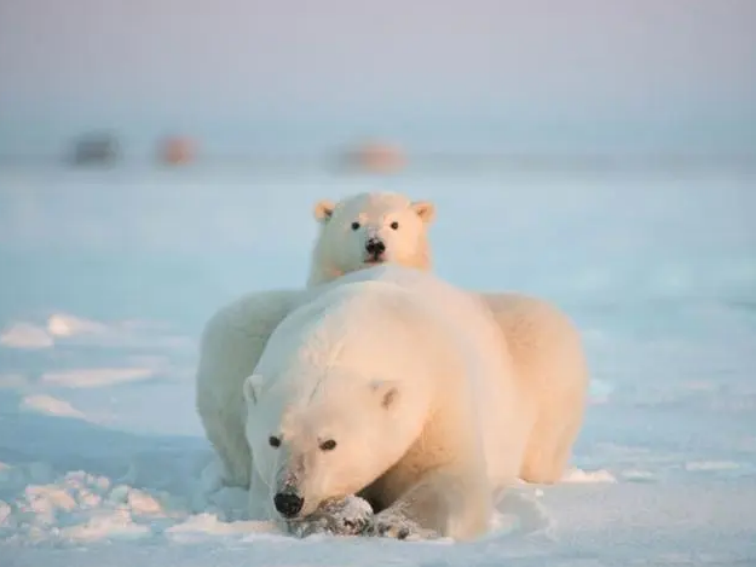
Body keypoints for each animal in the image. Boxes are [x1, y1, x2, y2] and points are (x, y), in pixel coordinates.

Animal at [245, 266, 528, 540]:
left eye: (329, 443)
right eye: (273, 440)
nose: (289, 499)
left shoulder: (440, 398)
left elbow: (450, 475)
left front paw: (395, 526)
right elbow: (261, 500)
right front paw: (341, 515)